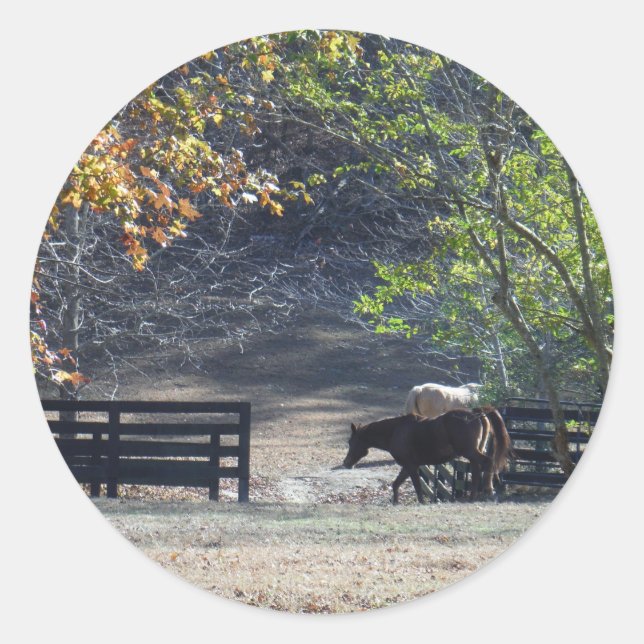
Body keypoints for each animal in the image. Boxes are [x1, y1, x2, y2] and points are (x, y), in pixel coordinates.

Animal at [341, 407, 511, 504]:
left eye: (351, 441)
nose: (346, 463)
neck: (395, 431)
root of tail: (476, 414)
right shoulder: (408, 466)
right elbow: (396, 484)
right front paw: (395, 502)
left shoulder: (410, 466)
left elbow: (417, 486)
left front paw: (421, 503)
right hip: (473, 452)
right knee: (476, 469)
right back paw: (472, 498)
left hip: (470, 451)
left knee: (487, 463)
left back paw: (490, 490)